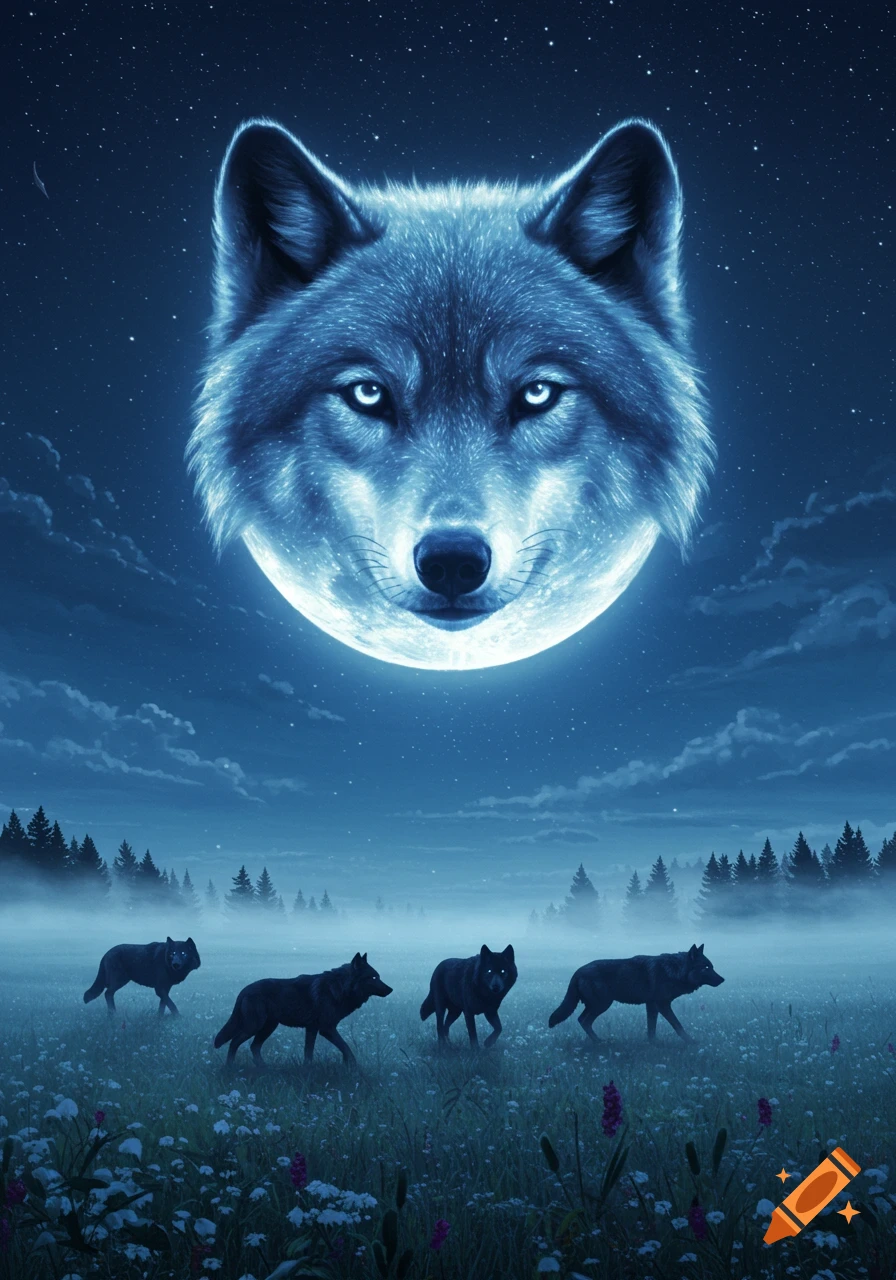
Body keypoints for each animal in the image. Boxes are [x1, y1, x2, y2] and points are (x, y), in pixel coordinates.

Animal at [213, 952, 392, 1067]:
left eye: (378, 977)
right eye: (374, 977)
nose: (390, 989)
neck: (339, 988)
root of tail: (244, 990)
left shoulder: (312, 1029)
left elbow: (309, 1052)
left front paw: (308, 1069)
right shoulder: (326, 1029)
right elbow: (346, 1048)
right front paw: (354, 1066)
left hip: (268, 1027)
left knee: (254, 1047)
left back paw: (264, 1068)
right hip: (255, 1026)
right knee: (235, 1042)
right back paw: (230, 1067)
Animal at [548, 943, 724, 1044]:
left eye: (712, 967)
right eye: (706, 968)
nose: (723, 979)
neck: (674, 971)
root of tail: (577, 972)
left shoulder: (652, 1005)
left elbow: (651, 1028)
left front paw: (652, 1044)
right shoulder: (662, 1005)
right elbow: (677, 1024)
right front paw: (691, 1041)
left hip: (597, 1005)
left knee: (582, 1020)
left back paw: (597, 1041)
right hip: (602, 1005)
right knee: (584, 1020)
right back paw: (599, 1042)